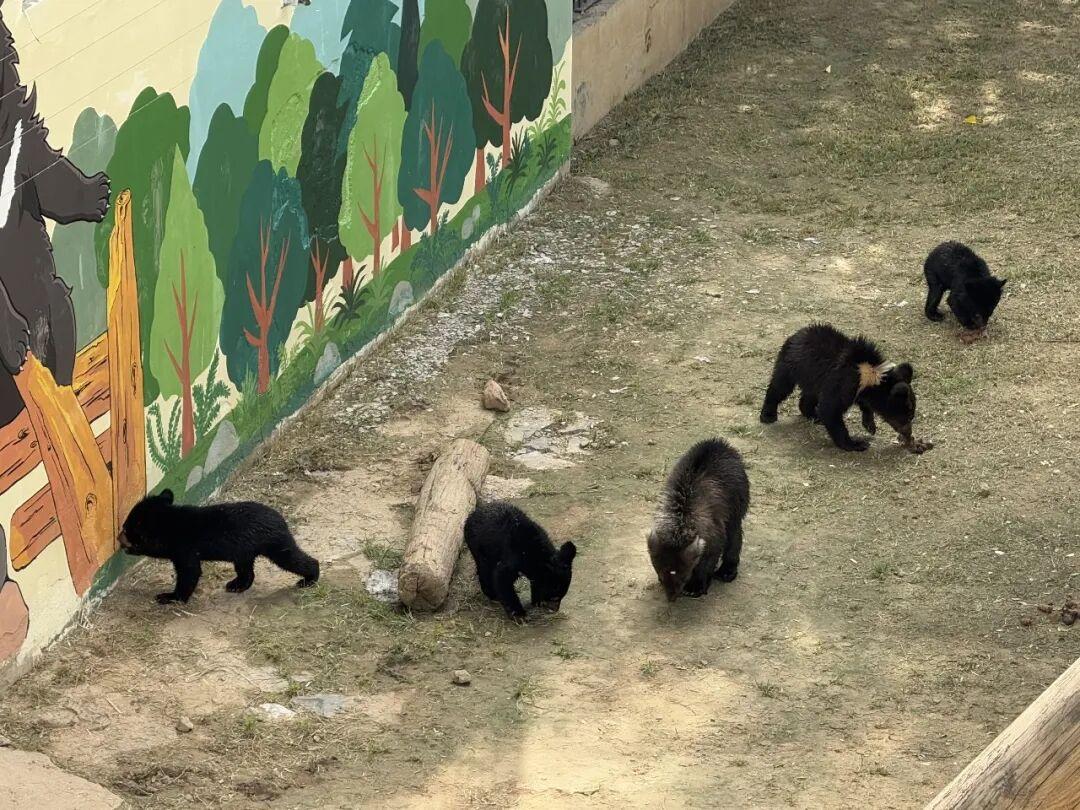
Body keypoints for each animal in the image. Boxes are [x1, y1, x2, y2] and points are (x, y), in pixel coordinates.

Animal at [0, 3, 111, 427]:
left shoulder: (17, 133)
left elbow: (46, 170)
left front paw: (98, 192)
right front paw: (14, 341)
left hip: (51, 302)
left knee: (58, 313)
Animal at [118, 490, 320, 604]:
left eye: (127, 530)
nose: (119, 540)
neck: (171, 525)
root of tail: (282, 520)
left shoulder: (185, 548)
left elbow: (190, 572)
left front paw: (169, 597)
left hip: (273, 543)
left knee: (292, 558)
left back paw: (309, 579)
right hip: (244, 551)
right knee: (246, 570)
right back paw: (236, 585)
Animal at [647, 438, 749, 602]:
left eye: (684, 577)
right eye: (661, 576)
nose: (671, 598)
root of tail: (721, 443)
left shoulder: (714, 535)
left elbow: (707, 562)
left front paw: (695, 587)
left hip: (736, 506)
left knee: (734, 535)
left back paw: (727, 572)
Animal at [759, 323, 931, 453]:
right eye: (907, 416)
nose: (908, 434)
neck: (868, 378)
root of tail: (796, 334)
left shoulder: (857, 390)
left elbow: (863, 404)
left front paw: (870, 425)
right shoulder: (843, 383)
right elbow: (830, 410)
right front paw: (857, 443)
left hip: (812, 377)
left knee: (808, 396)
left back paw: (814, 415)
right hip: (791, 365)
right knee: (779, 387)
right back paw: (768, 415)